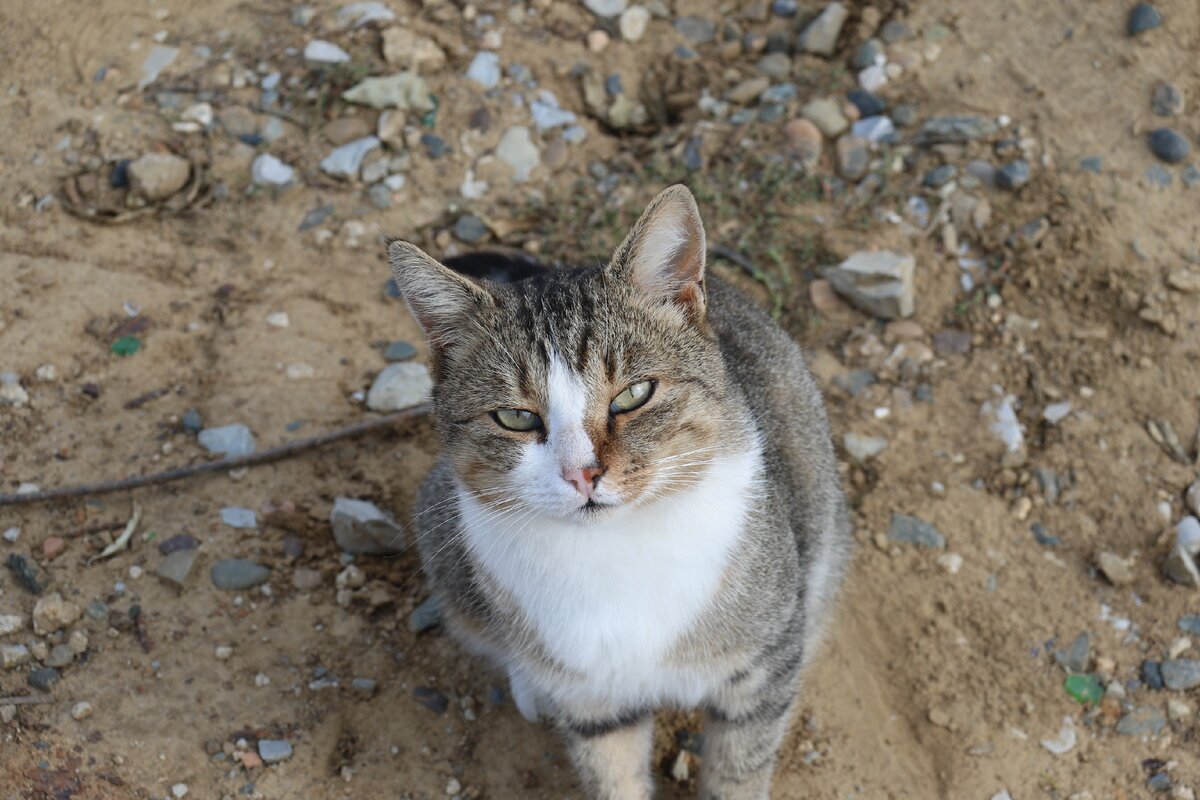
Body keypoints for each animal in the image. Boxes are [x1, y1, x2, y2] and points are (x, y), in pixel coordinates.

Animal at [388, 184, 849, 796]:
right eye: (515, 417)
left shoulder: (762, 667)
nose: (582, 473)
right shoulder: (591, 701)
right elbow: (612, 774)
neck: (617, 552)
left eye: (633, 395)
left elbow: (738, 771)